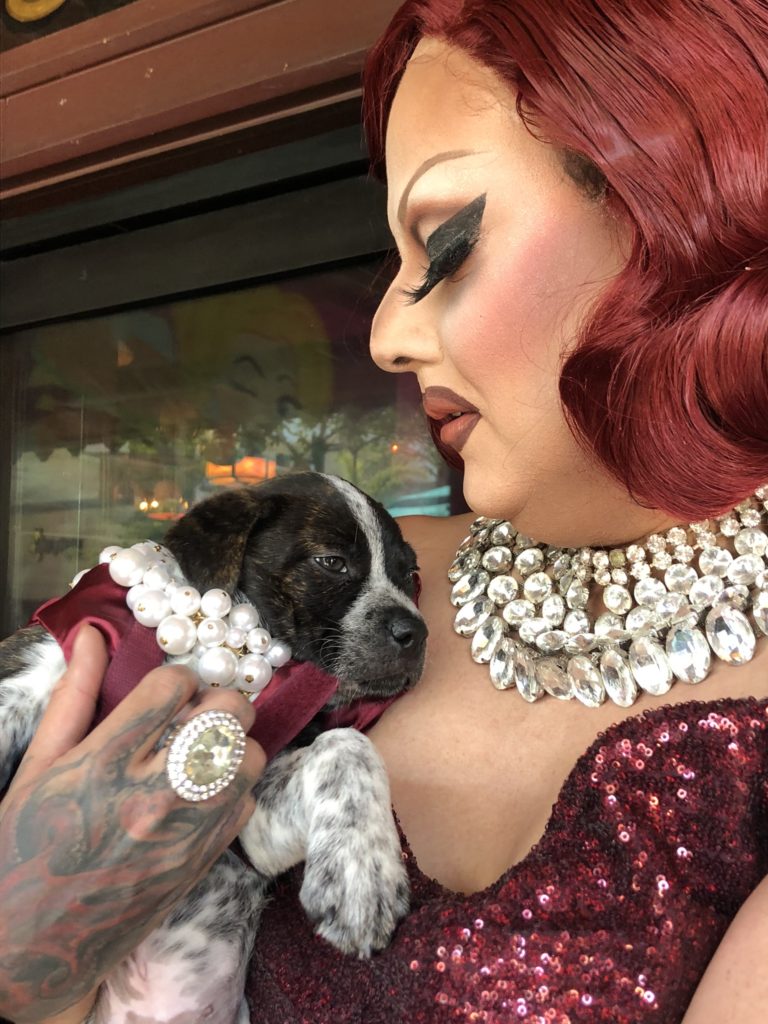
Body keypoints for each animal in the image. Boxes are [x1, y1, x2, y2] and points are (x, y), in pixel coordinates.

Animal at [0, 473, 428, 1024]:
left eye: (410, 573)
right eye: (332, 562)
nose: (416, 632)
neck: (222, 649)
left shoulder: (252, 827)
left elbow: (345, 744)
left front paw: (362, 869)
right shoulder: (32, 673)